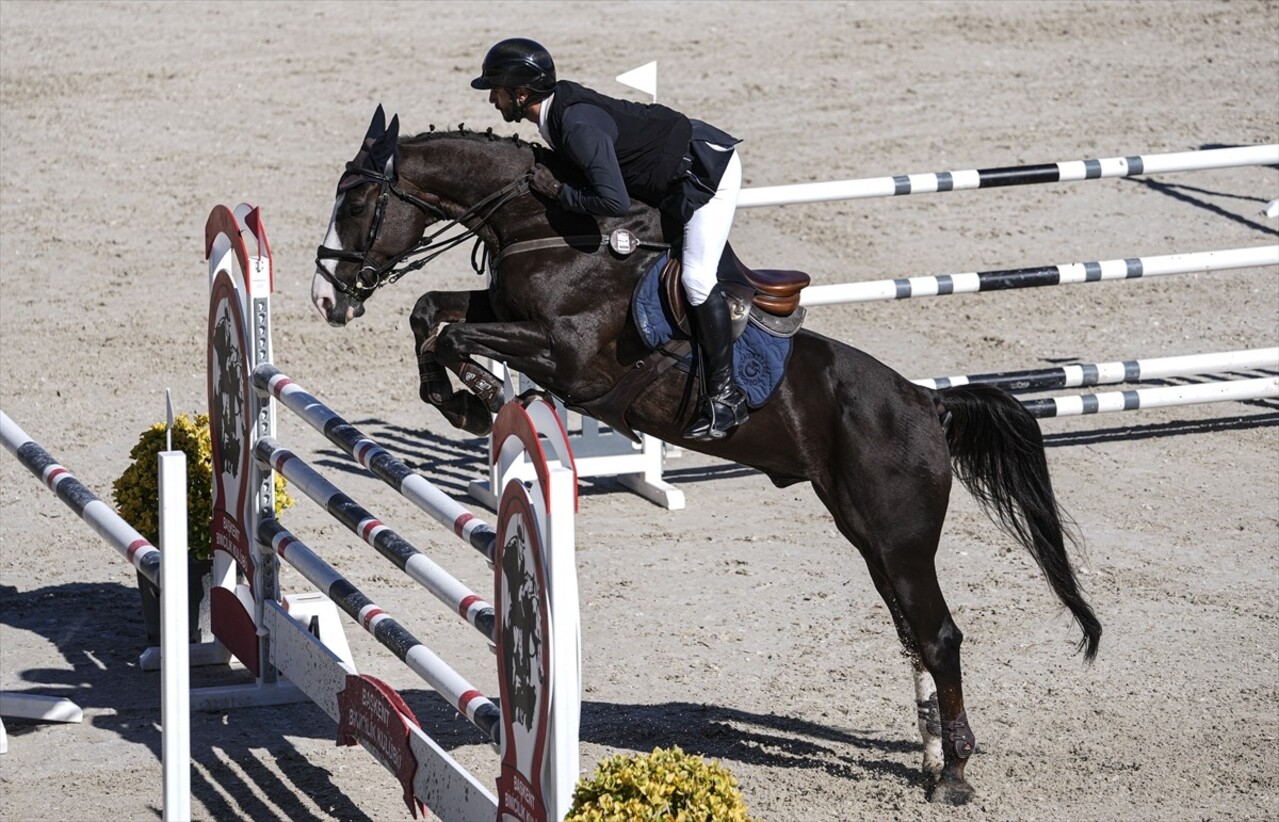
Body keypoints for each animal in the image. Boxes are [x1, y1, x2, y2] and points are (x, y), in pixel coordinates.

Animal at [309, 106, 1099, 807]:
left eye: (357, 202)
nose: (327, 299)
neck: (549, 229)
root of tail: (926, 403)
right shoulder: (502, 315)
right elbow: (432, 314)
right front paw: (462, 398)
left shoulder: (569, 360)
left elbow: (451, 332)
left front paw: (470, 395)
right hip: (870, 536)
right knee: (914, 637)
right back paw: (932, 765)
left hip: (900, 538)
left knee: (938, 636)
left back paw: (957, 774)